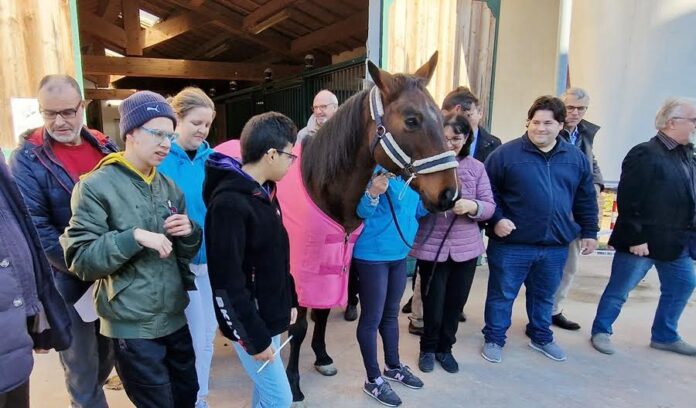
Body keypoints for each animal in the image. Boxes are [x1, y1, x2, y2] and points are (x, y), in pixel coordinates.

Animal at [282, 51, 456, 402]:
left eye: (441, 118)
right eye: (412, 120)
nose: (449, 194)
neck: (321, 190)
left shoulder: (335, 266)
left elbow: (322, 313)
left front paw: (322, 357)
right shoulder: (300, 275)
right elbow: (299, 326)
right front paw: (293, 384)